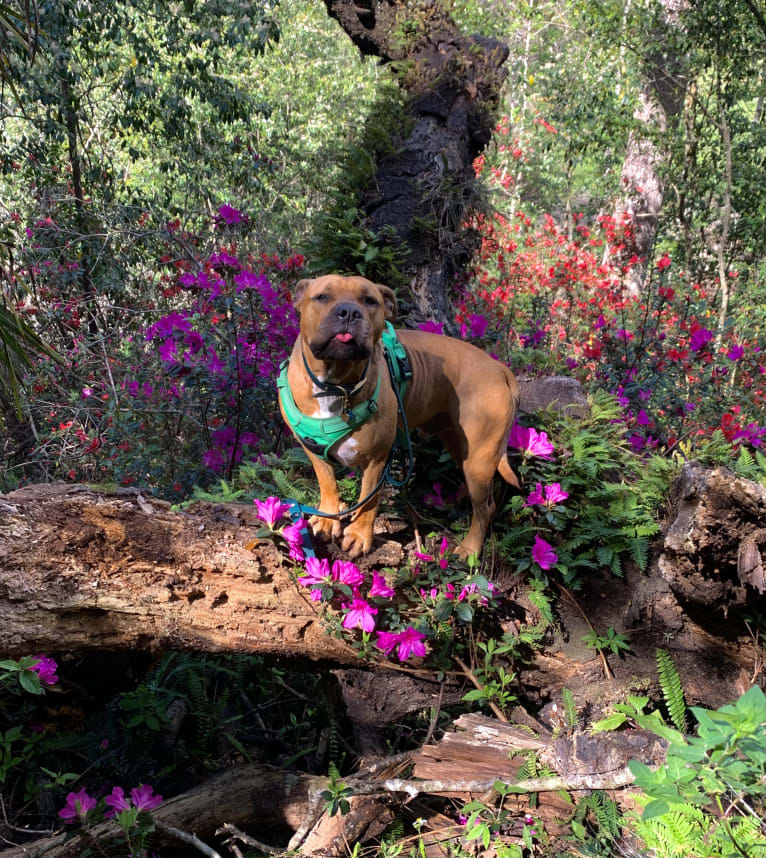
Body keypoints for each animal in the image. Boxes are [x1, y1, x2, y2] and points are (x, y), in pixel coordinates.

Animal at [282, 270, 520, 560]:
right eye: (322, 296)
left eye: (370, 301)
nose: (349, 312)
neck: (336, 385)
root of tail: (500, 368)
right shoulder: (314, 450)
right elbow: (327, 482)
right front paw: (328, 517)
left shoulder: (377, 458)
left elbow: (369, 499)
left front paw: (359, 534)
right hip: (459, 444)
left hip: (480, 457)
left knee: (485, 507)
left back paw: (470, 548)